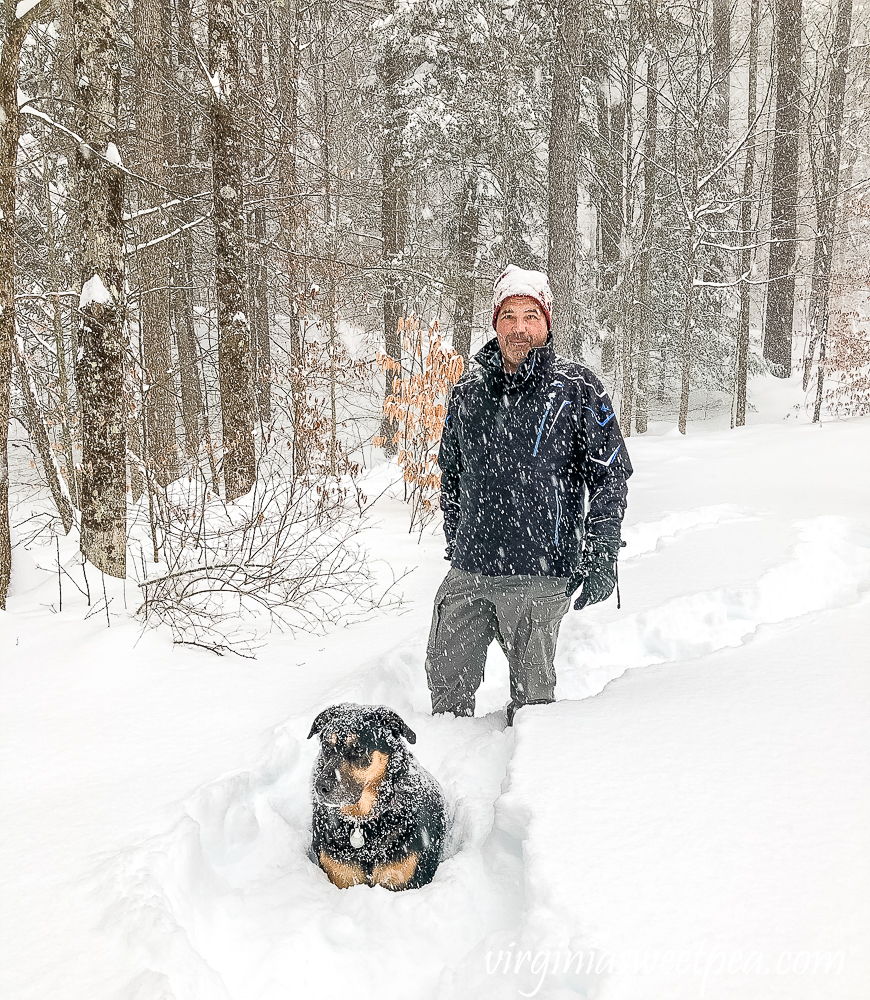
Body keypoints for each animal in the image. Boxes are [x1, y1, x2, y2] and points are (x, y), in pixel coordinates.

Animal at [308, 704, 446, 892]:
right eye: (326, 746)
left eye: (358, 749)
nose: (320, 787)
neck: (363, 822)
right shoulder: (342, 874)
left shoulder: (402, 878)